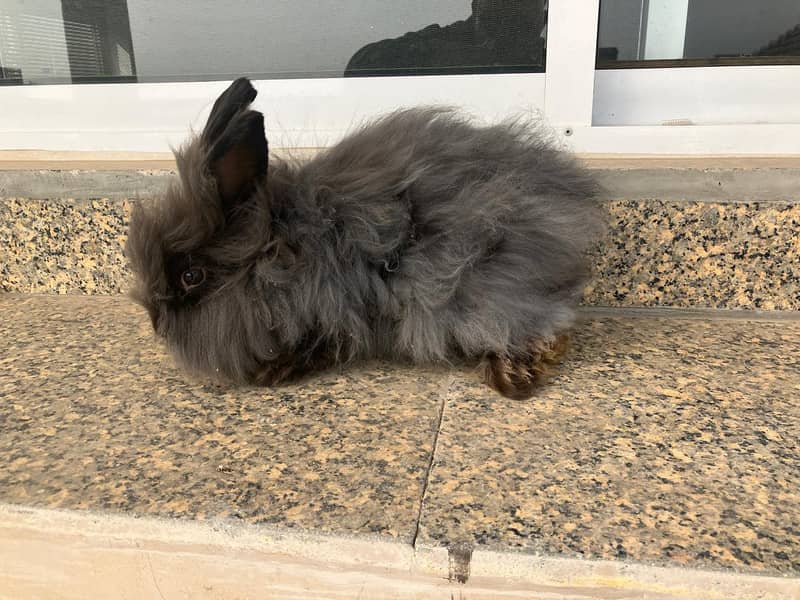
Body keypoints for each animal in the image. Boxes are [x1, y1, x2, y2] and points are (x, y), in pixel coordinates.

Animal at [125, 78, 600, 398]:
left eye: (191, 277)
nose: (155, 323)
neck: (276, 253)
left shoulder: (327, 307)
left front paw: (272, 372)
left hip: (480, 286)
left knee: (544, 325)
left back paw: (509, 376)